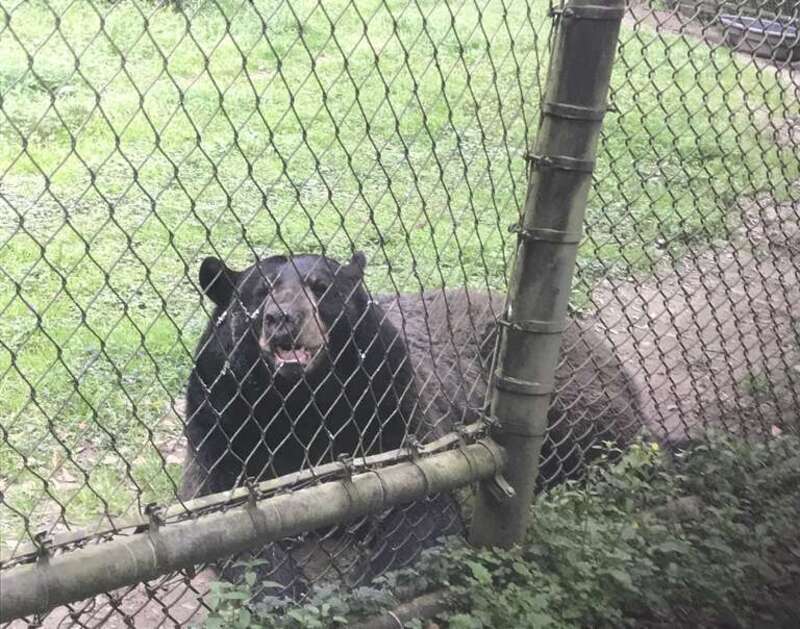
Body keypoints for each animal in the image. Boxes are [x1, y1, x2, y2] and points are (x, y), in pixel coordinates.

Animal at [179, 251, 643, 596]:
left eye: (320, 288)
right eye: (259, 293)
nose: (282, 319)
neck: (297, 403)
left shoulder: (393, 410)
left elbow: (420, 509)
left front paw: (369, 585)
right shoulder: (221, 425)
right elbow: (229, 523)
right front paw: (282, 592)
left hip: (566, 390)